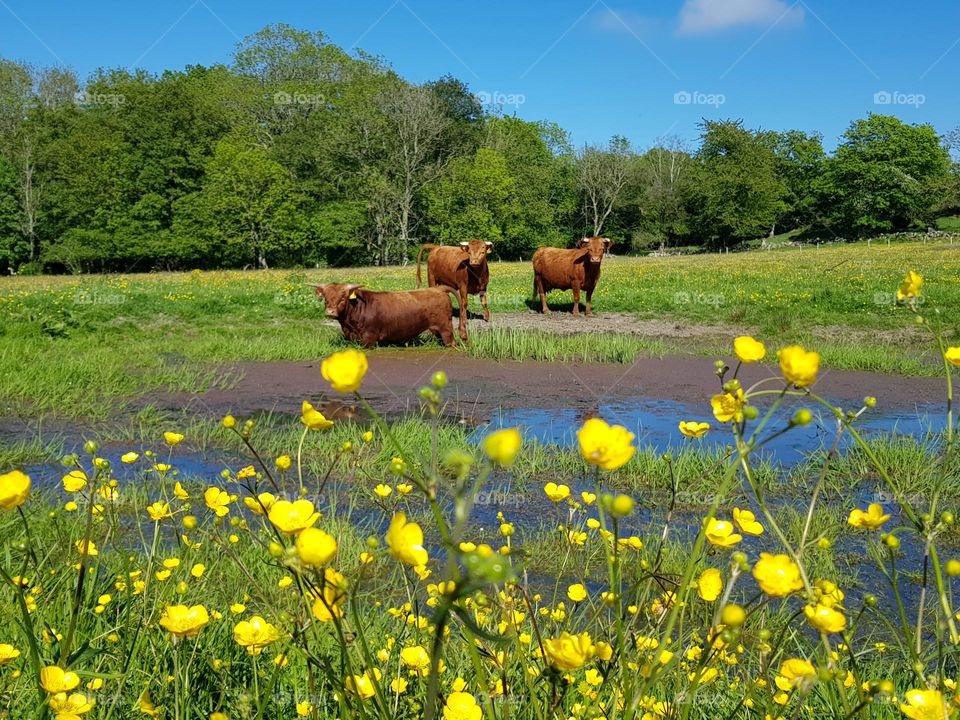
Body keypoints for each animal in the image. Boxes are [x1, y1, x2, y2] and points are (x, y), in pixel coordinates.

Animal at [306, 282, 459, 348]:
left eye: (343, 298)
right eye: (325, 298)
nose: (330, 312)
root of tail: (438, 289)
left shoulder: (369, 337)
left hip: (445, 327)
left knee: (450, 341)